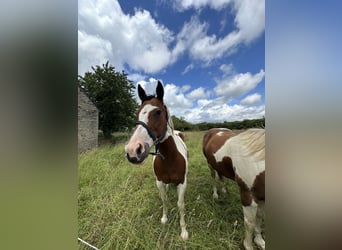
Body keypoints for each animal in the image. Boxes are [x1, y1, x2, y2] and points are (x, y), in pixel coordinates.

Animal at [124, 81, 188, 239]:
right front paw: (164, 218)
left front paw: (184, 231)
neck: (170, 158)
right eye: (137, 113)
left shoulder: (182, 183)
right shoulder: (159, 182)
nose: (133, 150)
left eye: (158, 112)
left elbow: (180, 205)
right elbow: (164, 199)